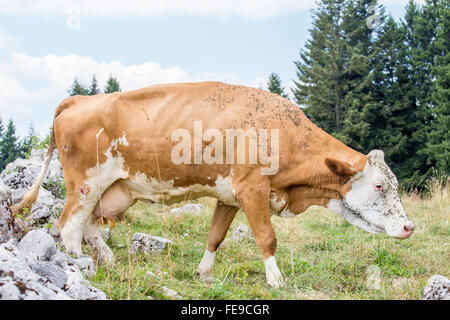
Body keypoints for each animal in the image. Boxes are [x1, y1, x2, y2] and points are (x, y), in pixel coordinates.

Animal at [13, 82, 414, 288]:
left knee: (91, 225)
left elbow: (216, 235)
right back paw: (82, 265)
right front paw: (277, 281)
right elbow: (266, 238)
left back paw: (109, 261)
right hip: (85, 183)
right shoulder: (252, 189)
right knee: (69, 226)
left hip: (116, 189)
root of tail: (80, 99)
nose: (410, 226)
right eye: (380, 186)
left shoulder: (230, 196)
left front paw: (204, 273)